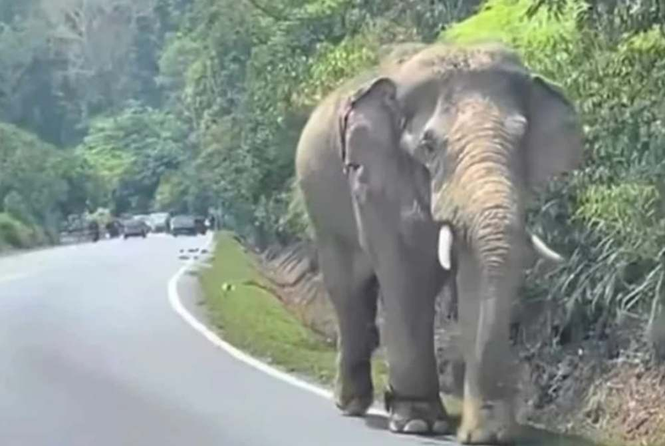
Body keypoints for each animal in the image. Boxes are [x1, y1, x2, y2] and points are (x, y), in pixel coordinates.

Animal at [295, 42, 583, 444]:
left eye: (521, 138)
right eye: (429, 146)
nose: (474, 432)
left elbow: (474, 274)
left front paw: (489, 434)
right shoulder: (375, 182)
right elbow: (405, 274)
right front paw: (418, 422)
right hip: (321, 208)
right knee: (348, 288)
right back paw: (352, 404)